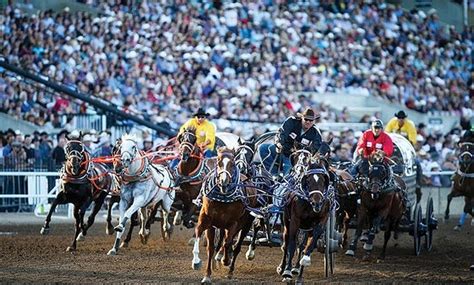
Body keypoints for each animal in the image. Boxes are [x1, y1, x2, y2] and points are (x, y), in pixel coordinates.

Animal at [190, 146, 256, 282]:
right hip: (221, 225)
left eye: (232, 163)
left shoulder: (232, 223)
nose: (224, 182)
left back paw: (229, 268)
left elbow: (227, 242)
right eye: (218, 161)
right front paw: (202, 269)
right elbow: (206, 243)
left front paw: (225, 260)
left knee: (235, 245)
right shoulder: (207, 221)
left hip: (246, 224)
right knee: (222, 242)